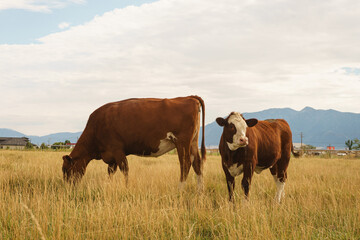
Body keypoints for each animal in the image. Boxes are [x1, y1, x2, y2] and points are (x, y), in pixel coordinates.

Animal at [62, 95, 205, 189]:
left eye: (66, 169)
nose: (67, 188)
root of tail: (188, 97)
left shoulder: (117, 150)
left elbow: (125, 170)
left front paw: (126, 187)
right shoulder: (111, 156)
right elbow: (110, 172)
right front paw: (109, 185)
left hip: (182, 142)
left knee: (185, 164)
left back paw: (180, 189)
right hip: (193, 143)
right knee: (197, 164)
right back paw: (200, 192)